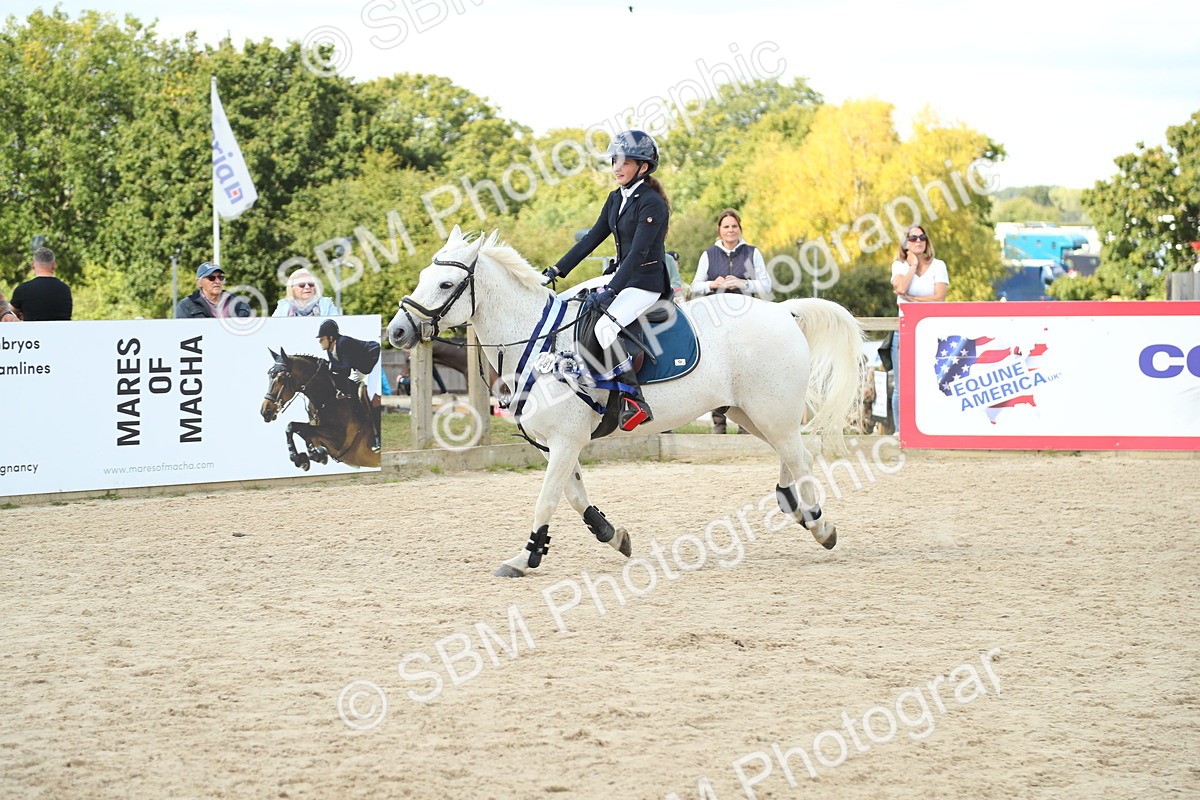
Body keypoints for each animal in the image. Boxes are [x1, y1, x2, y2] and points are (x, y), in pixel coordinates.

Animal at [386, 227, 864, 578]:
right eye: (423, 278)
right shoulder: (559, 444)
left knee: (800, 455)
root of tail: (783, 311)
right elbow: (574, 496)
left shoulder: (565, 441)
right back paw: (793, 504)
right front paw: (611, 535)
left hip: (770, 410)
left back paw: (819, 523)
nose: (397, 332)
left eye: (446, 283)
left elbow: (547, 499)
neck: (538, 341)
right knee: (798, 452)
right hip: (752, 413)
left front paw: (526, 557)